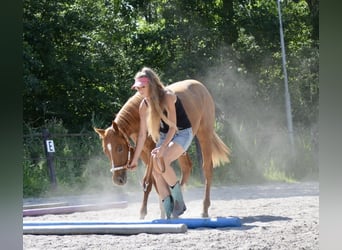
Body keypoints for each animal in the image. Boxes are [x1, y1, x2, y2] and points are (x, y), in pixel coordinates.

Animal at [95, 80, 231, 219]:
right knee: (186, 167)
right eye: (106, 151)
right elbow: (153, 181)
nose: (118, 180)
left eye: (120, 148)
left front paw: (148, 212)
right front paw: (162, 210)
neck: (138, 117)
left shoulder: (154, 151)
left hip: (204, 135)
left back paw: (204, 208)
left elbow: (149, 182)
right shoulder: (144, 152)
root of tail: (201, 87)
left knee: (207, 168)